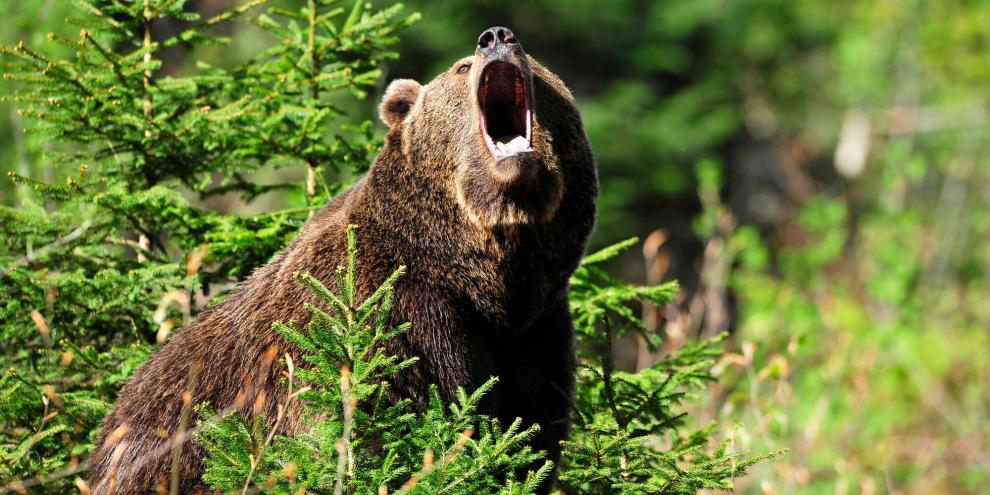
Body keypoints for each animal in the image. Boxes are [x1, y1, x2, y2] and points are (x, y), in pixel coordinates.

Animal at [89, 25, 597, 494]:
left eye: (536, 65)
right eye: (462, 67)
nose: (496, 37)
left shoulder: (534, 336)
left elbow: (526, 439)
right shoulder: (381, 316)